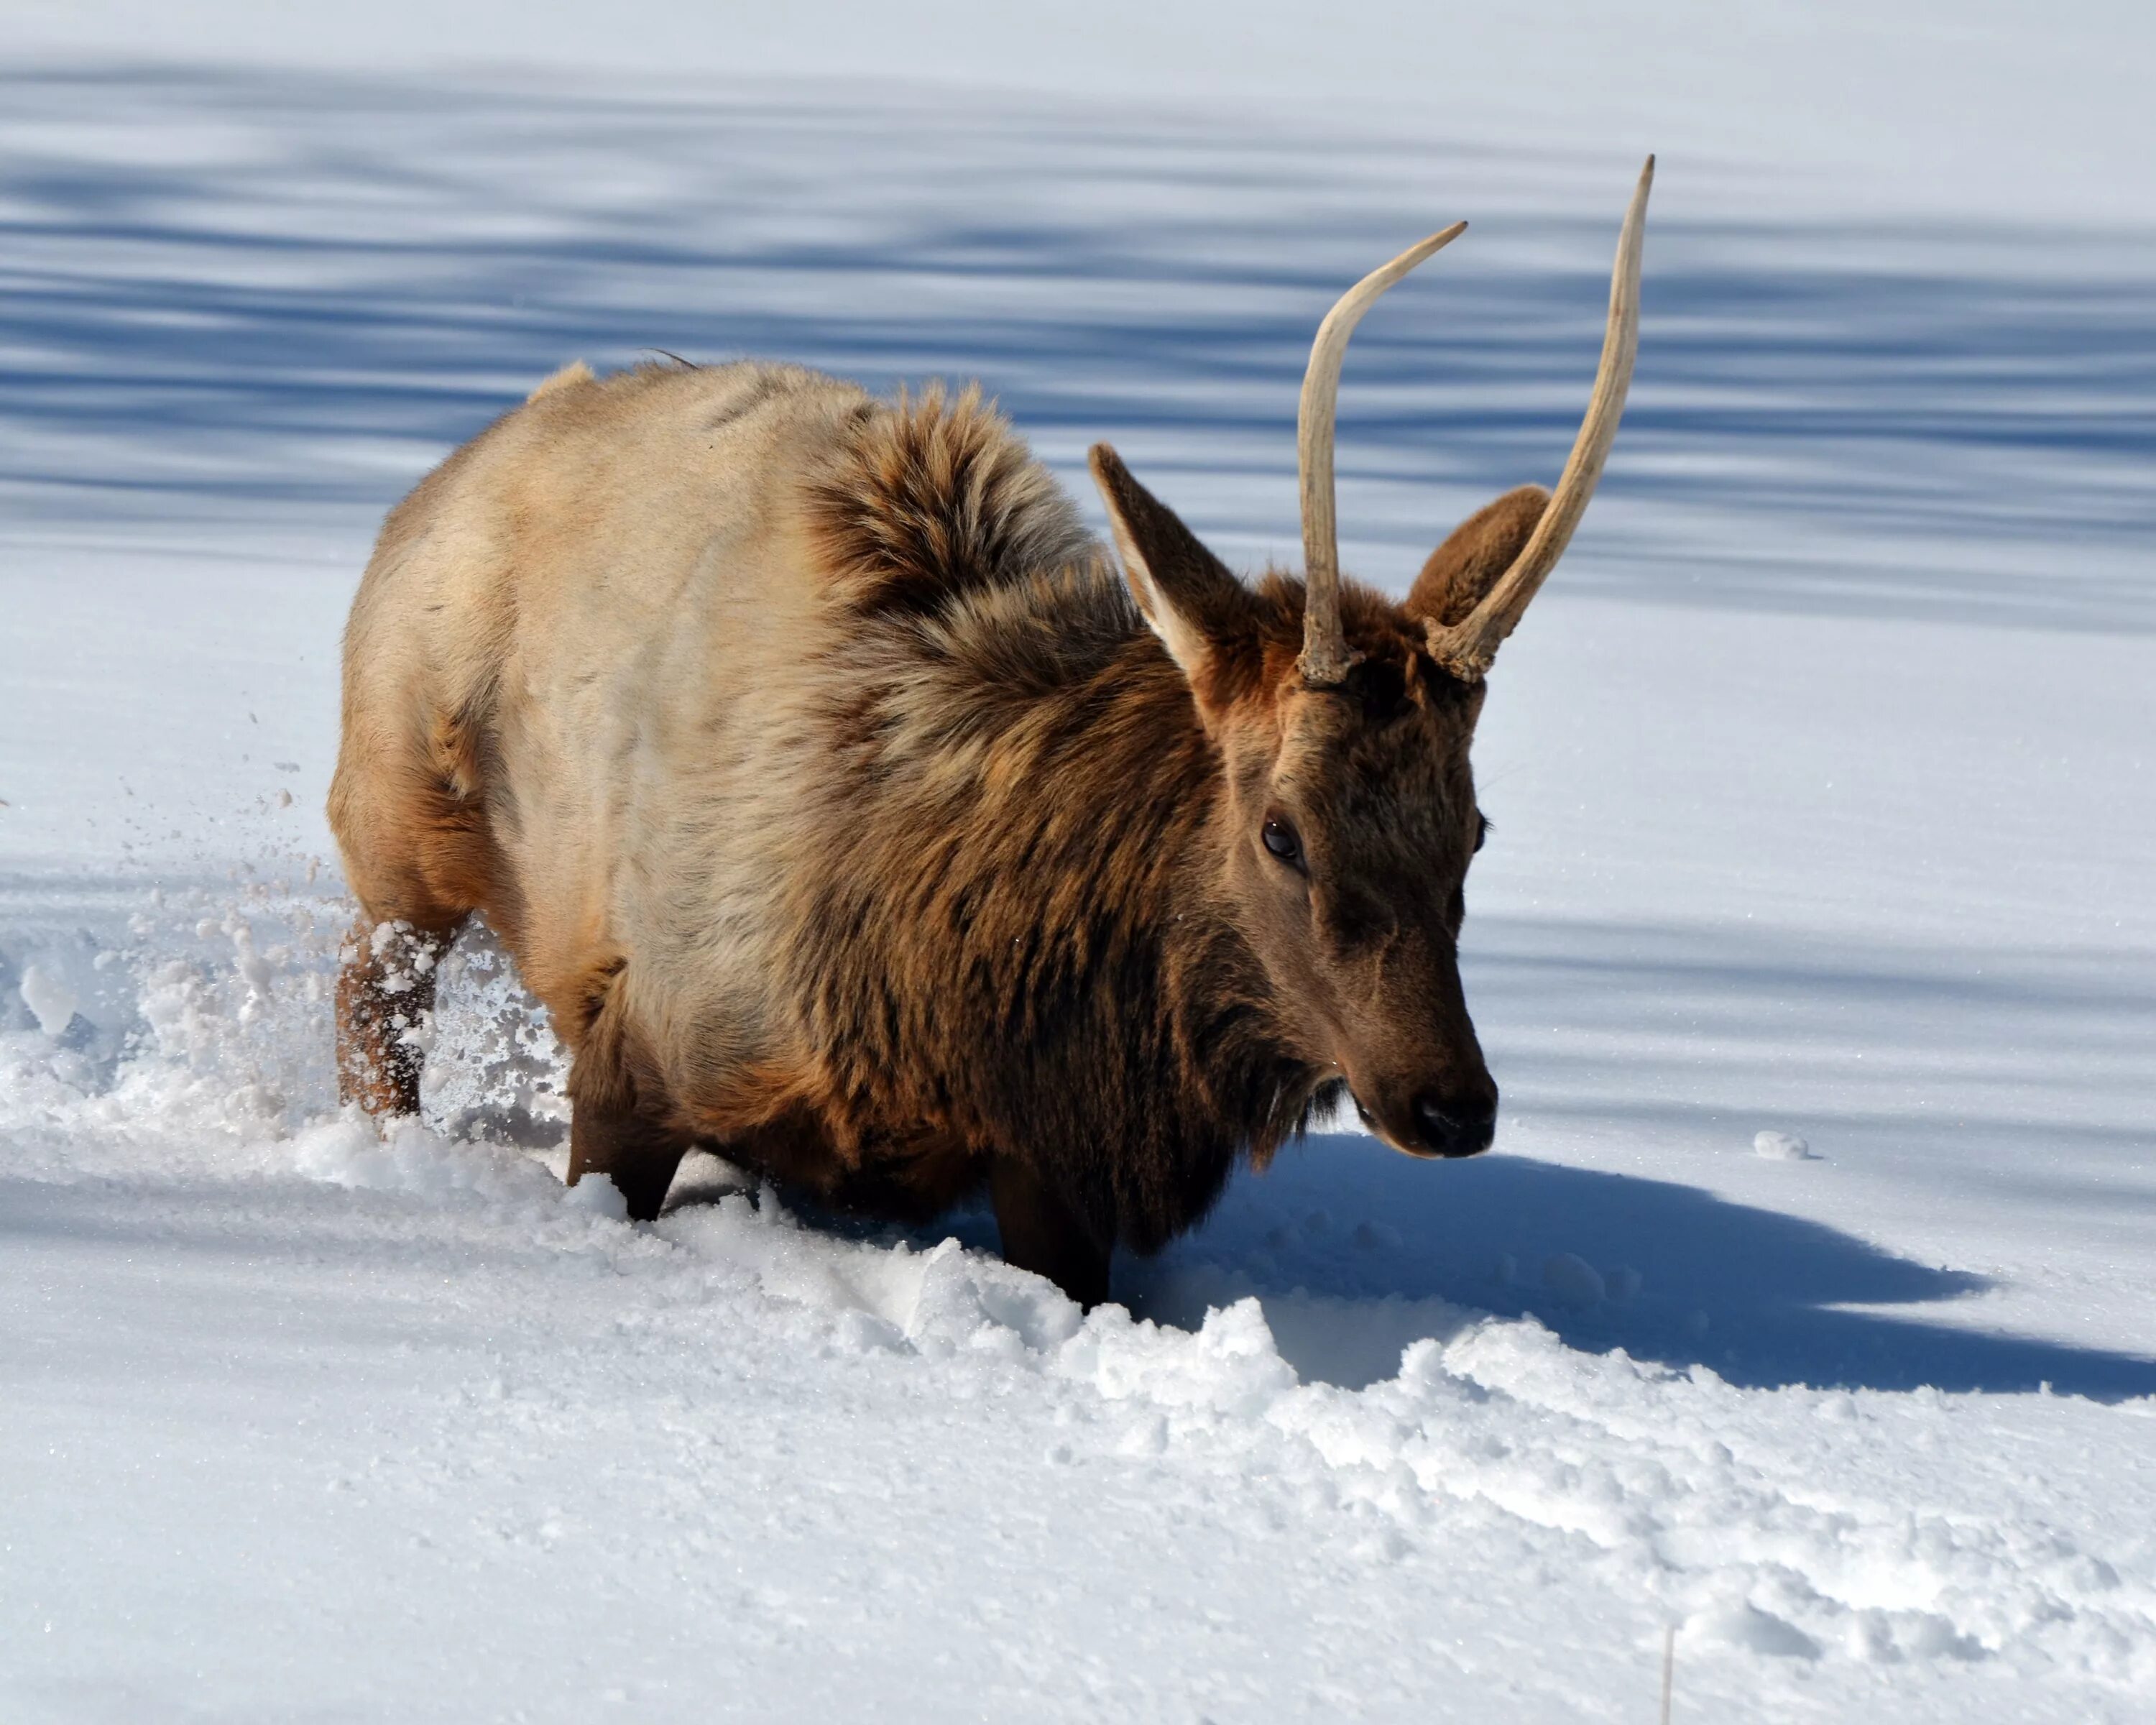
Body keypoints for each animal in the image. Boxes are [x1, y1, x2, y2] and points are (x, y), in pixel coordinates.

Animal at [323, 162, 1647, 1302]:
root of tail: (466, 457)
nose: (1451, 1103)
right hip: (398, 822)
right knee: (371, 1005)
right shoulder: (644, 1050)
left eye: (1475, 829)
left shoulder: (1050, 1168)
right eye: (1281, 832)